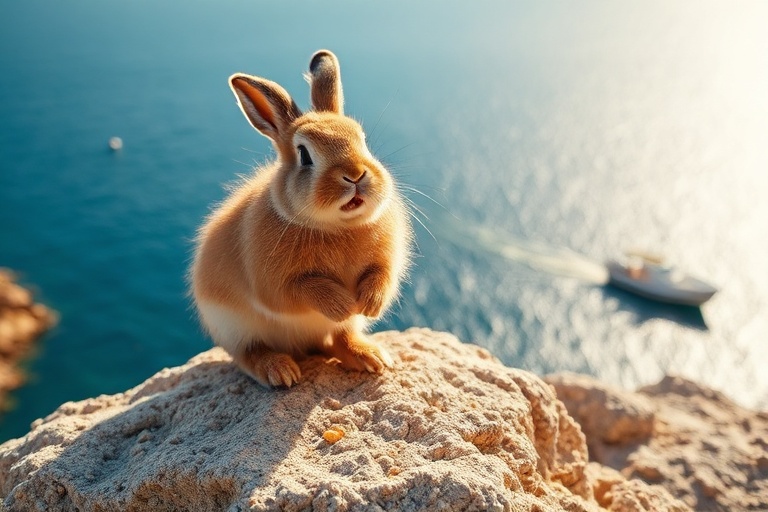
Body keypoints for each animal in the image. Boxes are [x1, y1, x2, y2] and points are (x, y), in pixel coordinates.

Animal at [190, 50, 412, 388]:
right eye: (305, 155)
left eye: (363, 141)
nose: (356, 175)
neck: (337, 227)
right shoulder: (275, 284)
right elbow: (303, 290)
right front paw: (342, 304)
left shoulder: (386, 260)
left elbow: (382, 275)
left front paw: (370, 304)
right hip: (234, 327)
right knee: (249, 355)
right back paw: (281, 371)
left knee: (338, 339)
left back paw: (370, 357)